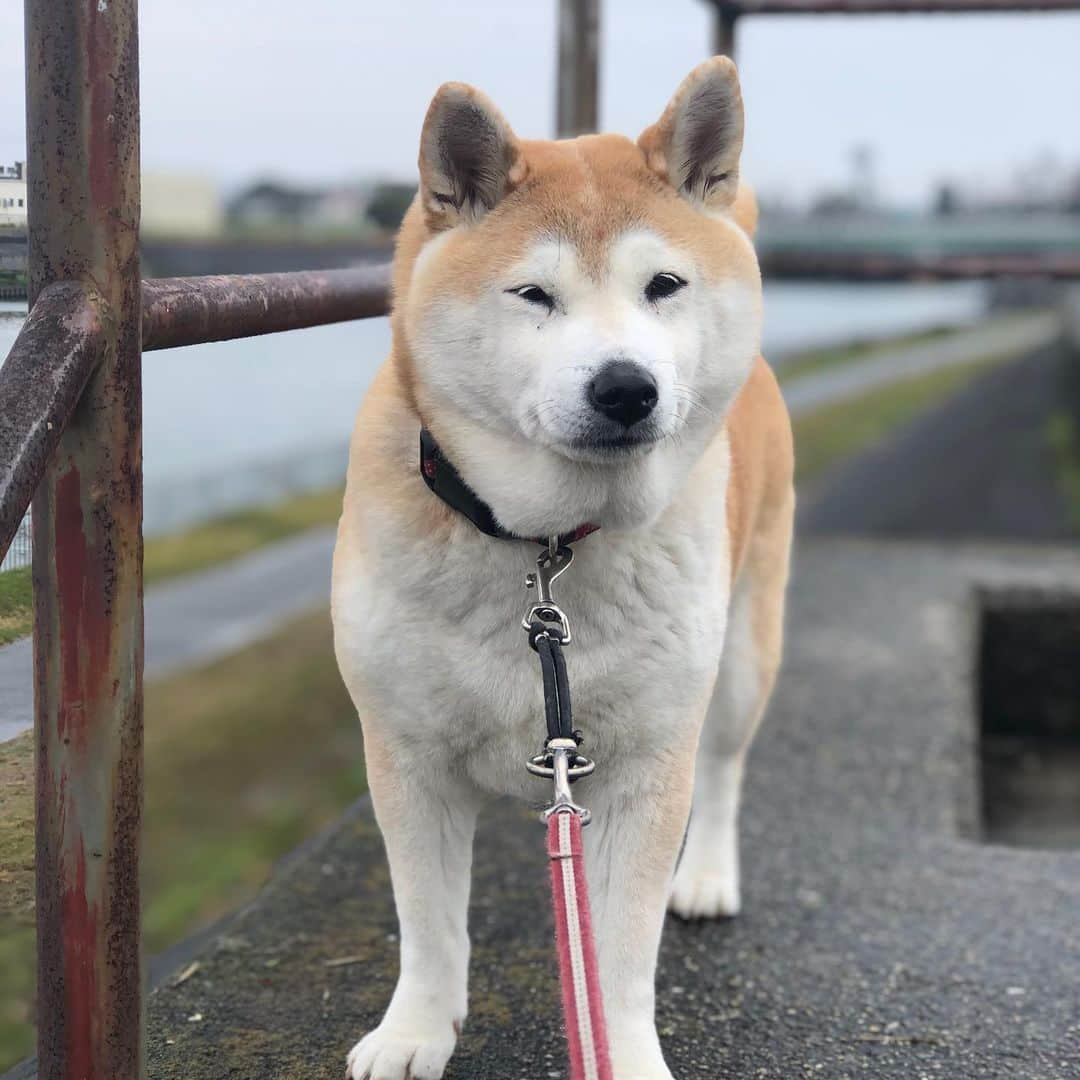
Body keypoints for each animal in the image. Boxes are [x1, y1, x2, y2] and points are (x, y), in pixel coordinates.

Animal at [328, 56, 794, 1080]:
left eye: (664, 284)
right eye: (533, 295)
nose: (625, 387)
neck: (542, 547)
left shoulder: (645, 770)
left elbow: (615, 958)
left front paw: (621, 1055)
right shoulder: (405, 753)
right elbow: (429, 923)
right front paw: (416, 1031)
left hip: (742, 655)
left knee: (730, 767)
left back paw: (708, 874)